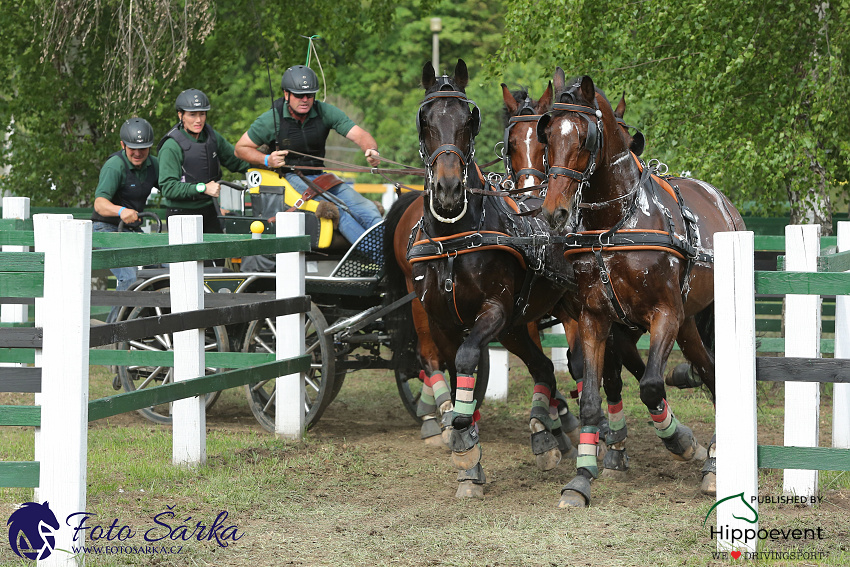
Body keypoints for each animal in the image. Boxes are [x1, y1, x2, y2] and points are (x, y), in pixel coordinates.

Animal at [386, 60, 580, 500]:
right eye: (425, 120)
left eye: (467, 121)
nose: (448, 189)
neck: (453, 239)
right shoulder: (443, 320)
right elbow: (452, 369)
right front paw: (465, 449)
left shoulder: (493, 312)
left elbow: (467, 358)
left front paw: (463, 437)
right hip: (507, 326)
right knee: (543, 367)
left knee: (578, 366)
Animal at [536, 73, 744, 508]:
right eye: (547, 135)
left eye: (584, 138)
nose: (554, 212)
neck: (617, 222)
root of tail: (726, 205)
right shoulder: (595, 319)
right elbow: (592, 397)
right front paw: (582, 477)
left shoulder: (664, 314)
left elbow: (650, 386)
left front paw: (681, 442)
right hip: (688, 323)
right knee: (709, 371)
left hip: (702, 316)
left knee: (711, 374)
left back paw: (715, 462)